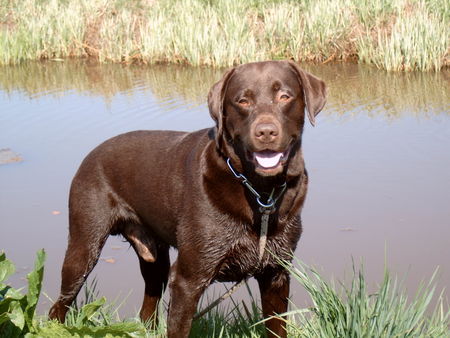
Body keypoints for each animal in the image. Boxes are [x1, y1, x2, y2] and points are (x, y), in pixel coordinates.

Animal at [49, 60, 326, 336]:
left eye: (285, 96)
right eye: (243, 101)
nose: (266, 132)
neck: (260, 192)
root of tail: (91, 153)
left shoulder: (276, 273)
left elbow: (277, 326)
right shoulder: (187, 280)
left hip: (155, 260)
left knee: (147, 309)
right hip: (84, 248)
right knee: (59, 305)